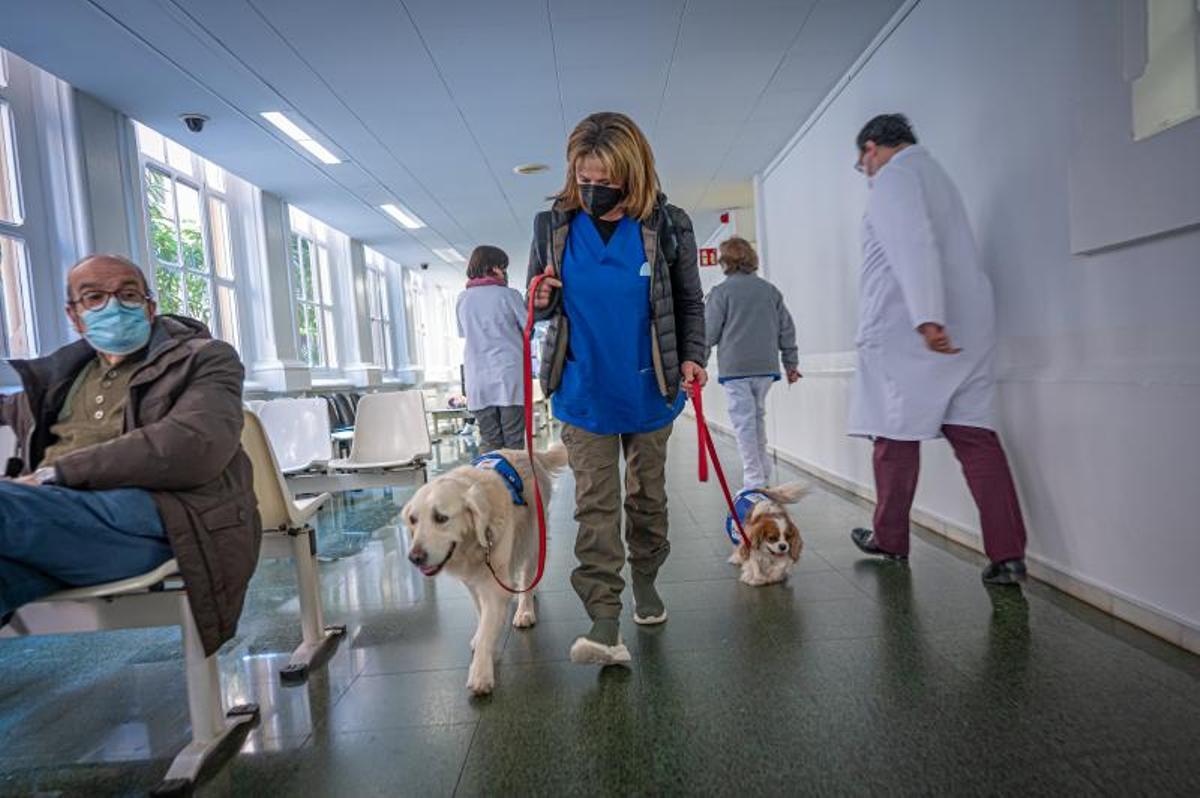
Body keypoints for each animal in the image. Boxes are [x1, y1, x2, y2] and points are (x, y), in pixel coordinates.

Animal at [400, 444, 568, 696]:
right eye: (413, 520)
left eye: (441, 518)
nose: (414, 558)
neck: (472, 544)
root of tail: (527, 453)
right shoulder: (472, 580)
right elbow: (482, 614)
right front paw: (481, 638)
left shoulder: (493, 585)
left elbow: (489, 623)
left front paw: (480, 672)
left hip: (532, 539)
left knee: (528, 573)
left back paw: (525, 609)